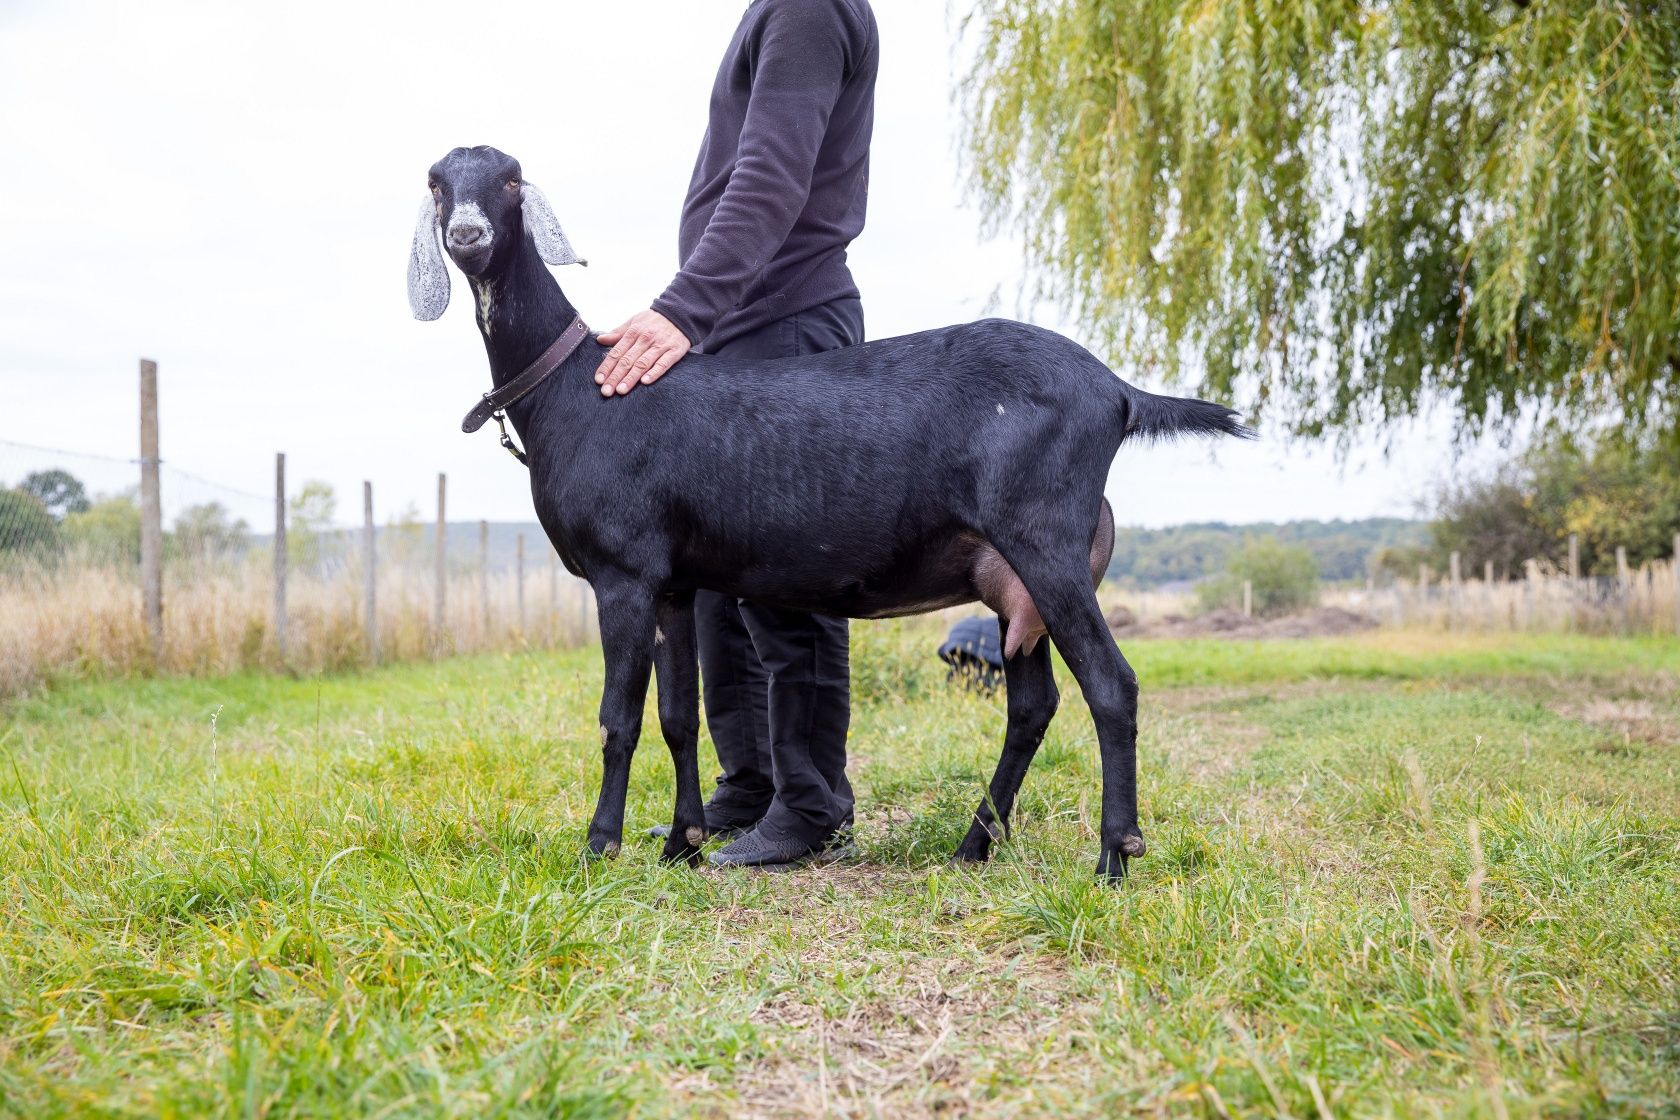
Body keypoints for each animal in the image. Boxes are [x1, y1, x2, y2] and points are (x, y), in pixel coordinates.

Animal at [406, 148, 1249, 879]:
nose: (469, 236)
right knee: (1032, 702)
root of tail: (1119, 393)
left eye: (512, 180)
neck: (574, 389)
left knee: (1112, 685)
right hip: (1011, 579)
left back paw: (1113, 859)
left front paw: (598, 849)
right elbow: (679, 717)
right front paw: (679, 848)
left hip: (1047, 541)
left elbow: (620, 717)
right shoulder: (672, 581)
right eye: (438, 181)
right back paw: (973, 845)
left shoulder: (622, 572)